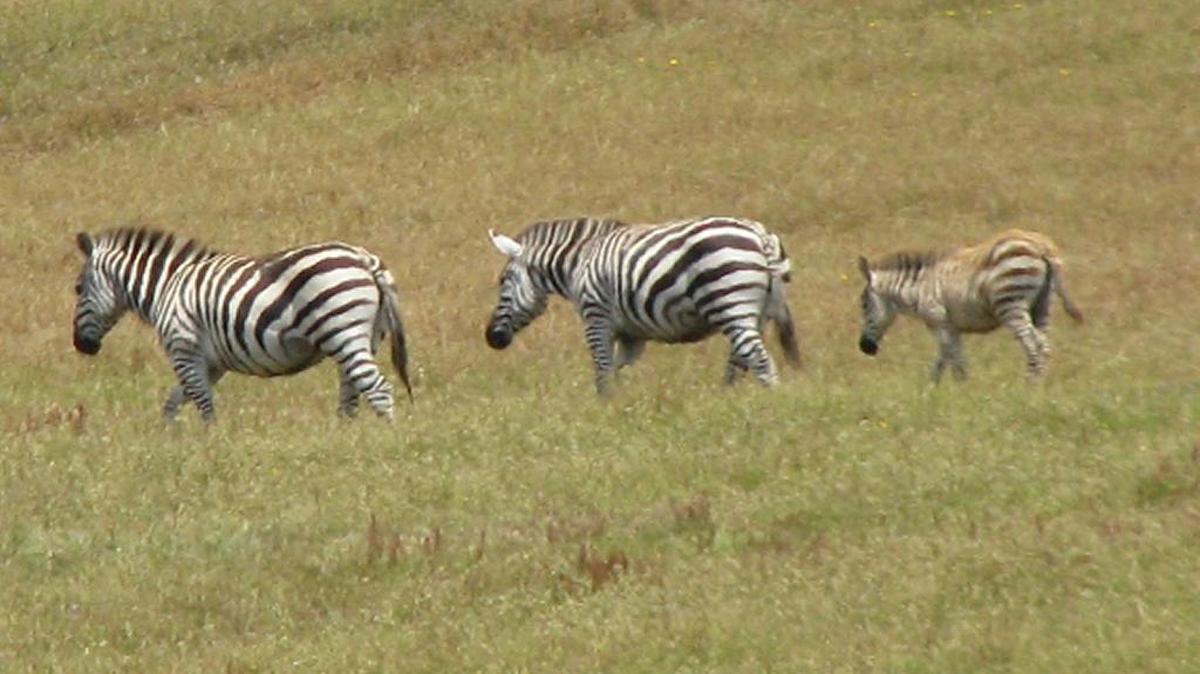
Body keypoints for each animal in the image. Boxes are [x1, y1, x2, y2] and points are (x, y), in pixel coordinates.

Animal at [72, 227, 412, 421]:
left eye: (77, 289)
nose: (81, 346)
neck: (166, 288)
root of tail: (364, 258)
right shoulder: (211, 364)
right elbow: (173, 404)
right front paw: (173, 444)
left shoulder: (184, 351)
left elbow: (204, 407)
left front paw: (211, 450)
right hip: (364, 338)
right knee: (352, 395)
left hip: (342, 332)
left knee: (378, 389)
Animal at [484, 216, 801, 395]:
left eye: (502, 280)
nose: (491, 338)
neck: (578, 264)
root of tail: (761, 236)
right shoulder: (631, 335)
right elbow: (614, 367)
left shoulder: (596, 316)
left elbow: (602, 369)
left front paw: (605, 408)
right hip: (758, 313)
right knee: (740, 362)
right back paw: (727, 401)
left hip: (730, 303)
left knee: (760, 361)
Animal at [856, 228, 1084, 381]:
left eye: (864, 305)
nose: (865, 347)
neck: (919, 288)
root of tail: (1043, 247)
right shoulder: (951, 326)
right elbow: (950, 360)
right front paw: (942, 392)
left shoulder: (938, 321)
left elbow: (952, 359)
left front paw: (950, 394)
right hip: (1043, 304)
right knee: (1044, 344)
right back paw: (1040, 387)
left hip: (1011, 304)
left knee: (1033, 344)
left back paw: (1028, 387)